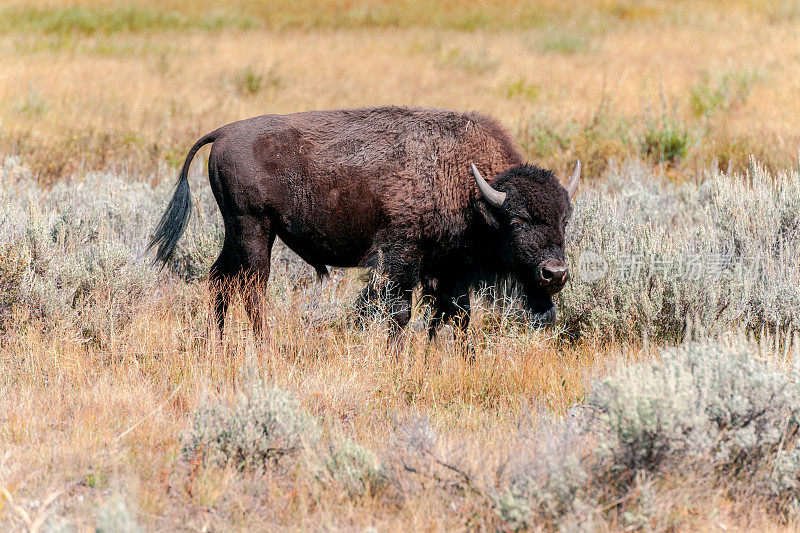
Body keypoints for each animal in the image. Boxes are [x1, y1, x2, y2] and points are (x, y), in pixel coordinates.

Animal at [147, 105, 580, 340]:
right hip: (253, 228)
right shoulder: (401, 257)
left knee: (220, 278)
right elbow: (400, 312)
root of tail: (223, 132)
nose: (554, 274)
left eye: (565, 219)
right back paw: (262, 346)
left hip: (239, 233)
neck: (475, 193)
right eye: (518, 220)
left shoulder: (449, 271)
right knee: (253, 288)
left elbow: (453, 317)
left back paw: (219, 346)